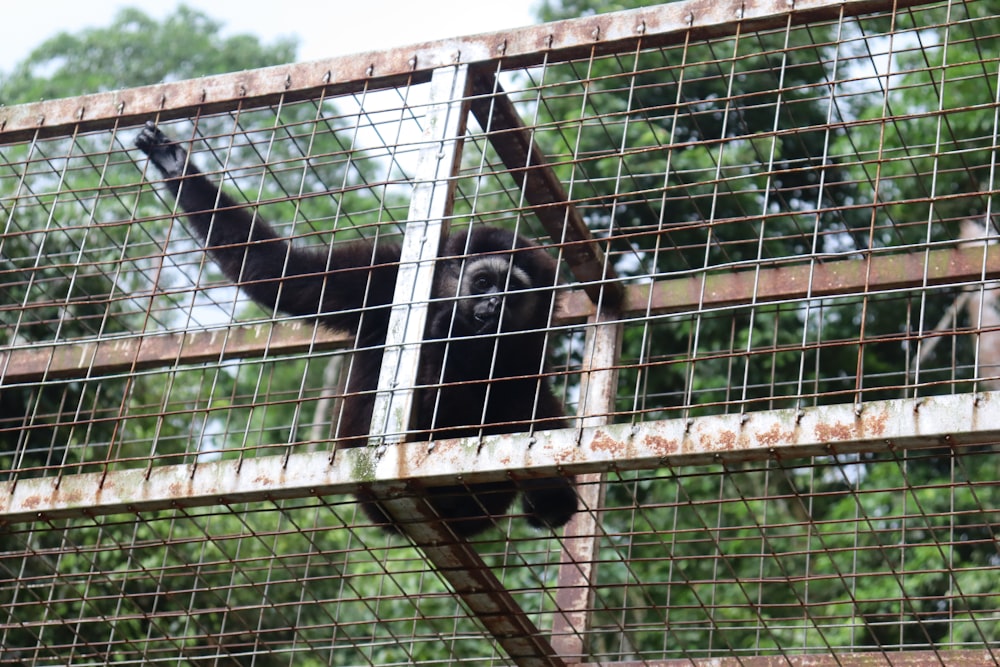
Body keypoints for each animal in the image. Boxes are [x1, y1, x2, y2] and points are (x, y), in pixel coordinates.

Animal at [138, 121, 580, 536]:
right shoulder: (388, 275)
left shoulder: (528, 338)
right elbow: (283, 273)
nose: (493, 303)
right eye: (484, 282)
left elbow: (530, 394)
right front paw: (176, 167)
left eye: (511, 290)